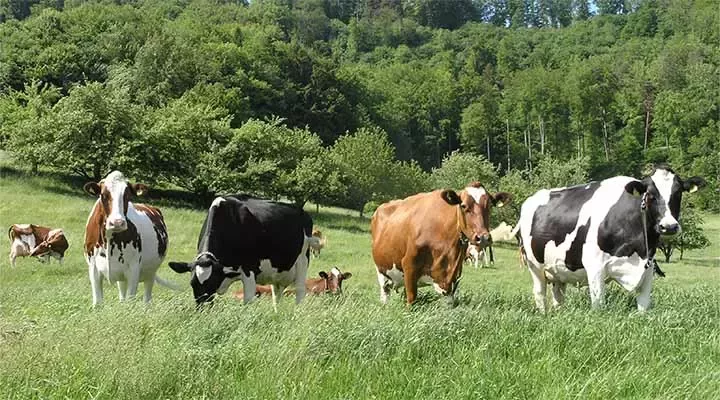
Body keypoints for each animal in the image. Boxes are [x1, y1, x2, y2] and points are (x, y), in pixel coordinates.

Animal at [83, 171, 174, 306]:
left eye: (128, 196)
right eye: (103, 195)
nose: (117, 222)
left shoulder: (133, 270)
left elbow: (130, 301)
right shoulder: (93, 268)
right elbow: (98, 302)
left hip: (151, 272)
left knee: (147, 297)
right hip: (122, 277)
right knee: (122, 294)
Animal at [168, 195, 322, 309]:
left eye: (212, 284)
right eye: (192, 284)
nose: (202, 308)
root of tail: (303, 212)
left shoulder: (249, 270)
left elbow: (248, 301)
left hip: (302, 261)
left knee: (300, 292)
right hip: (277, 274)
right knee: (277, 296)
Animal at [372, 182, 512, 305]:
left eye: (490, 206)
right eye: (463, 206)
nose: (482, 238)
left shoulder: (452, 277)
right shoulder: (409, 265)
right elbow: (411, 300)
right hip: (382, 271)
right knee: (385, 292)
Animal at [515, 165, 705, 312]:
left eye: (678, 193)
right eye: (650, 194)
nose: (669, 226)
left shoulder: (648, 269)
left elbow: (643, 307)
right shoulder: (595, 267)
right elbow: (599, 305)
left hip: (558, 269)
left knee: (558, 296)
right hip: (535, 266)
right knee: (540, 293)